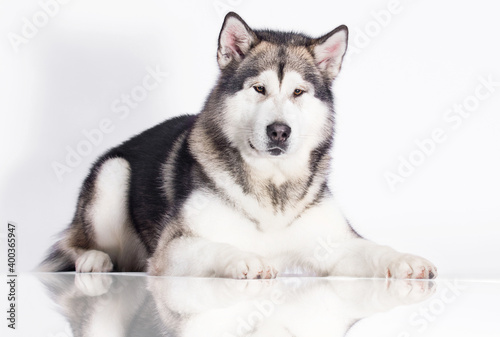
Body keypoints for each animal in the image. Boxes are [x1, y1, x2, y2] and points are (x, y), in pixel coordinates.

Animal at [40, 11, 438, 280]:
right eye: (259, 88)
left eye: (298, 92)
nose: (279, 131)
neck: (272, 186)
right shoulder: (175, 246)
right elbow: (215, 246)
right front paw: (243, 259)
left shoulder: (335, 243)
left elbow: (373, 248)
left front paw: (404, 259)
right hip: (112, 175)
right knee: (73, 242)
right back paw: (91, 259)